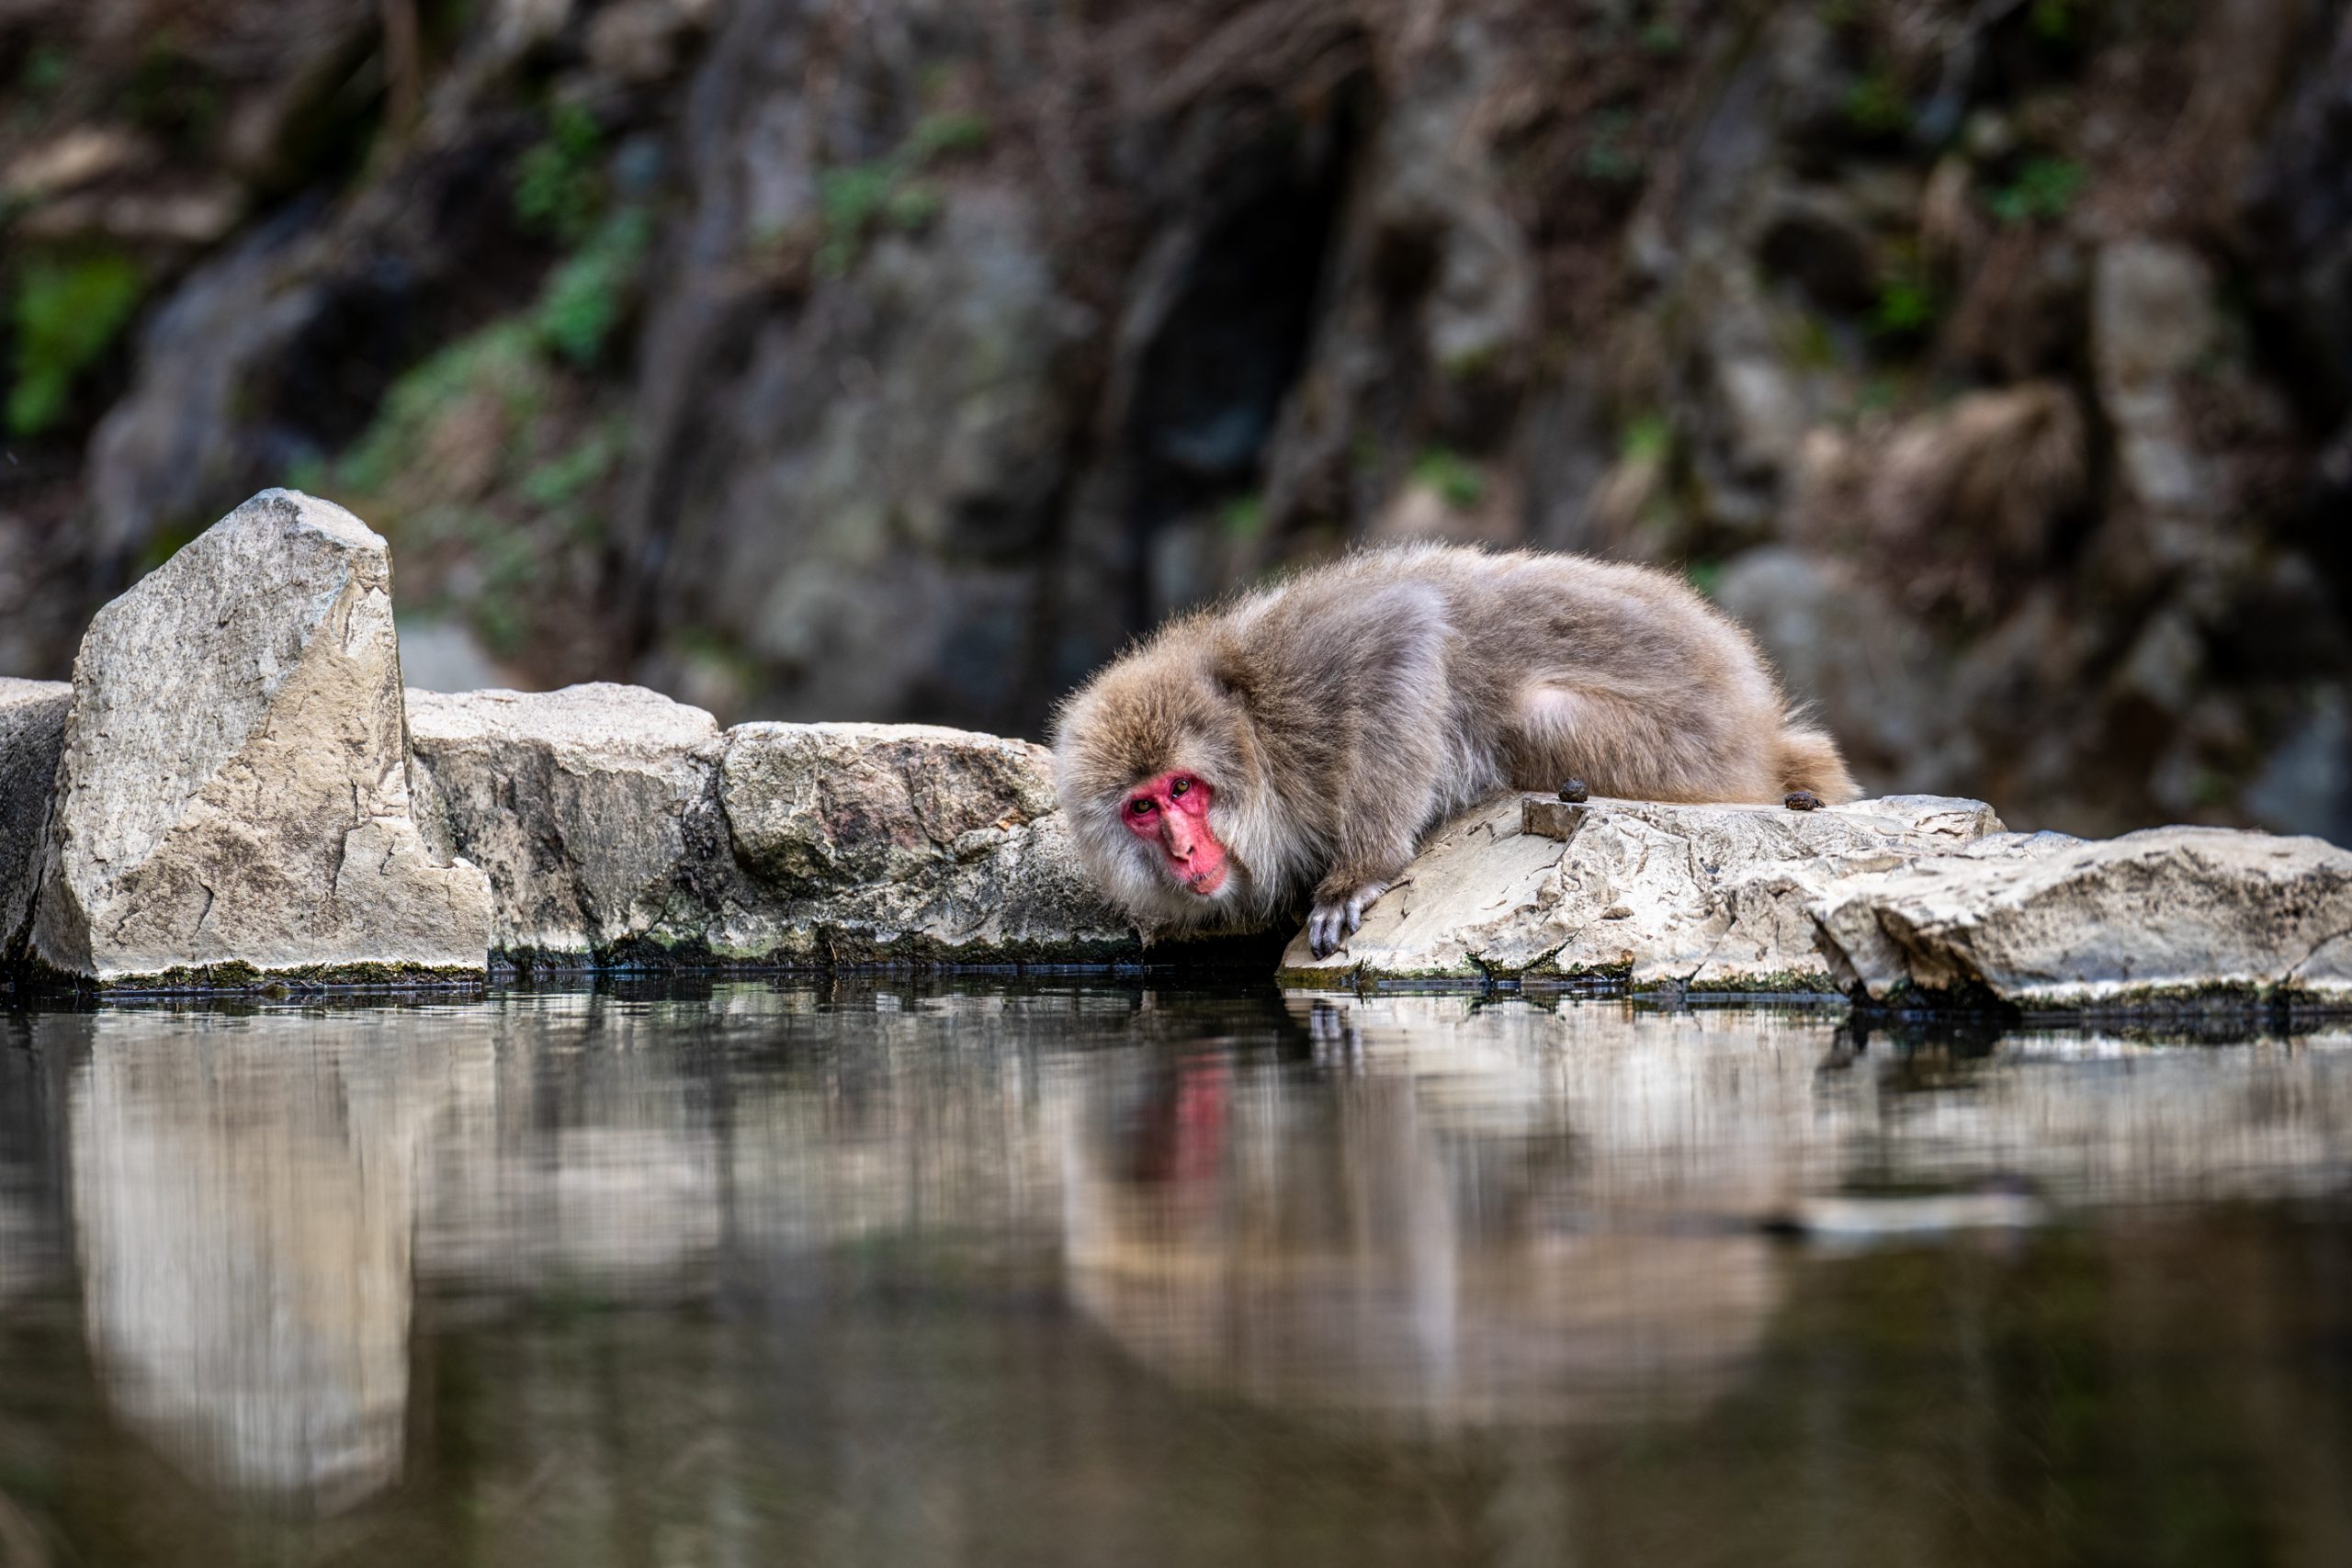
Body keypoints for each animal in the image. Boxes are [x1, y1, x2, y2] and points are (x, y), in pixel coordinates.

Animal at [1050, 543, 1858, 960]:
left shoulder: (1303, 682)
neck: (1256, 736)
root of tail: (1762, 728)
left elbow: (1404, 631)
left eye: (1183, 789)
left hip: (1686, 748)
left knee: (1531, 715)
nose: (1184, 850)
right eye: (1142, 807)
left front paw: (1362, 871)